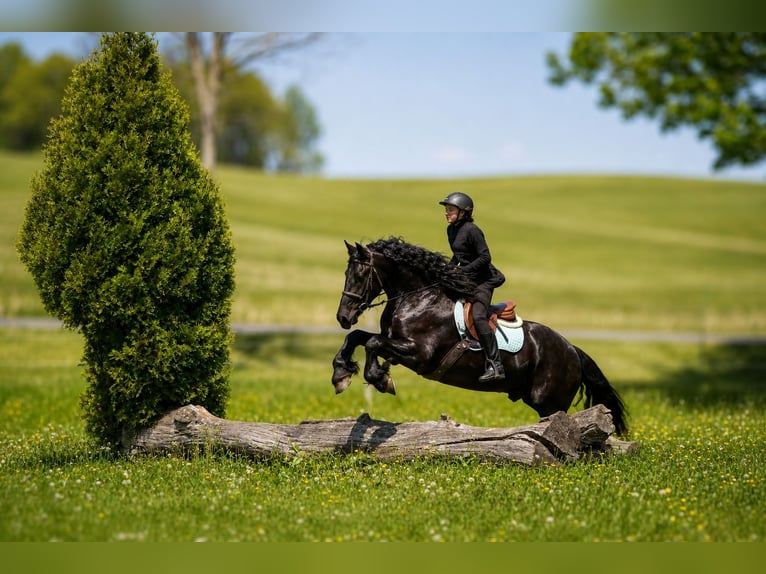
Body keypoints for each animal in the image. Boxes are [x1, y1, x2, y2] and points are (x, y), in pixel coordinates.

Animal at [332, 237, 628, 436]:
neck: (417, 297)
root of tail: (572, 349)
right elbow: (358, 337)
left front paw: (380, 378)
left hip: (550, 401)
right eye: (346, 273)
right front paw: (341, 374)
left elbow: (372, 342)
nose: (343, 317)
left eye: (361, 274)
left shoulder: (420, 354)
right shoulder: (394, 342)